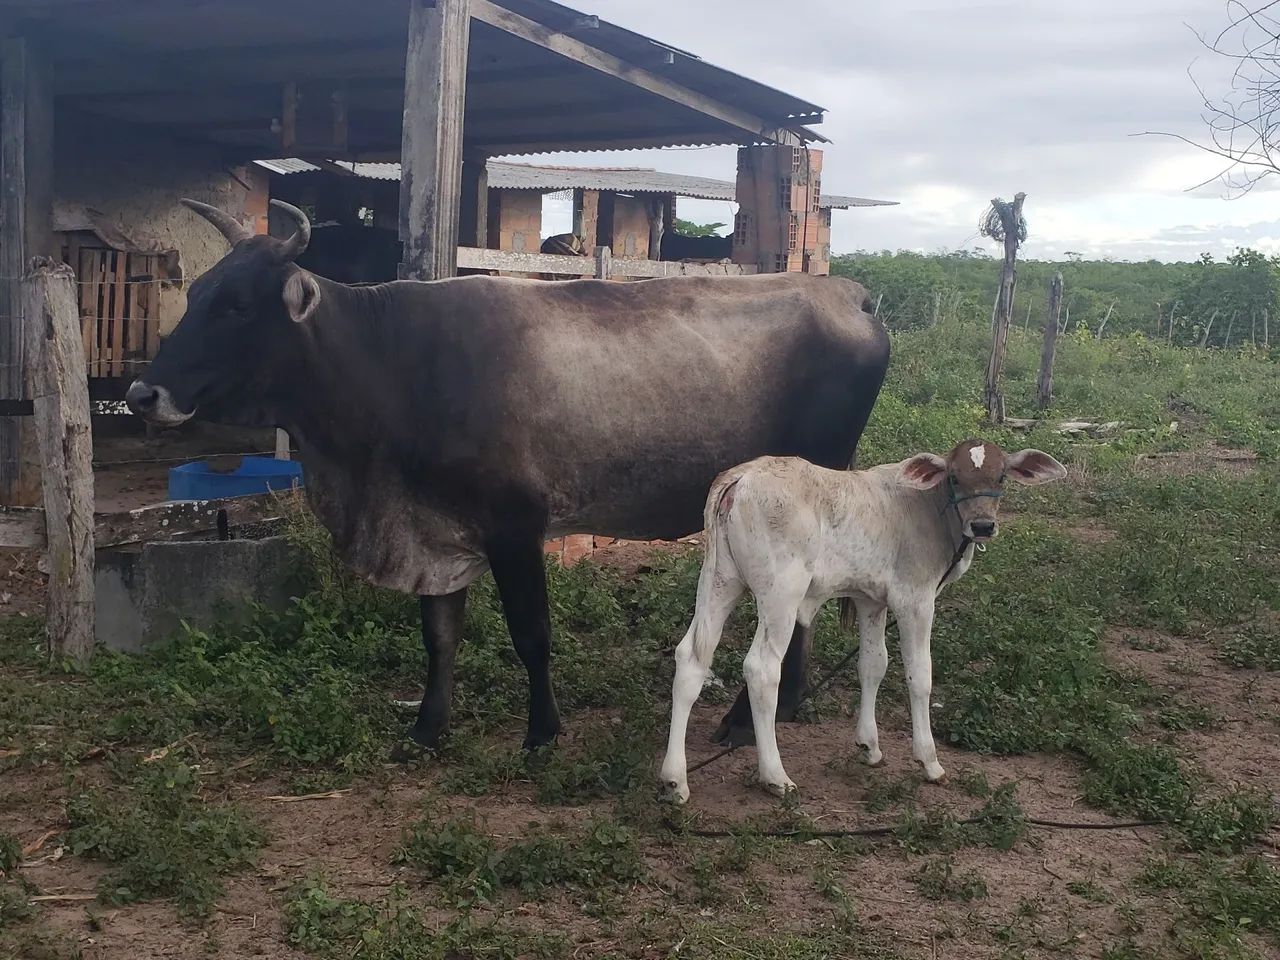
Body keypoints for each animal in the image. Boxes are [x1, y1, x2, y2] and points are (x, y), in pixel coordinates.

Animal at [125, 198, 890, 759]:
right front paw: (428, 729)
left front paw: (541, 732)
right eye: (198, 291)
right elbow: (440, 634)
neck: (389, 359)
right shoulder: (436, 530)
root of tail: (851, 294)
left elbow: (531, 632)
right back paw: (781, 707)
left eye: (237, 304)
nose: (140, 394)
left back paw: (745, 717)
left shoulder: (515, 526)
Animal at [659, 440, 1066, 803]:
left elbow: (873, 665)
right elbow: (919, 675)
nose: (982, 525)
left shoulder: (870, 600)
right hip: (780, 593)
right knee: (761, 668)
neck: (929, 508)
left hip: (719, 581)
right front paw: (929, 761)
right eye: (953, 477)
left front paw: (869, 746)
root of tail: (742, 476)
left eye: (1001, 476)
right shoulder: (914, 599)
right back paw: (775, 776)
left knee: (691, 658)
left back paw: (675, 780)